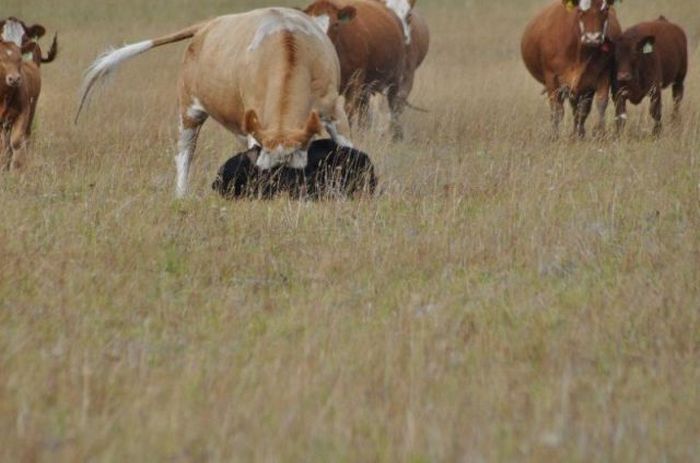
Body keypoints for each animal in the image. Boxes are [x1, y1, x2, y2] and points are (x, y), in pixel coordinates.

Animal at [0, 40, 41, 171]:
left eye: (19, 59)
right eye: (0, 58)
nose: (14, 79)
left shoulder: (24, 112)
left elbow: (16, 141)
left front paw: (15, 166)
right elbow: (3, 144)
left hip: (32, 109)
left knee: (26, 135)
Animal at [304, 0, 408, 138]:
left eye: (336, 24)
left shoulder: (355, 80)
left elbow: (349, 110)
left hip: (394, 79)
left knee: (394, 106)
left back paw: (396, 135)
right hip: (366, 88)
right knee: (365, 111)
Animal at [520, 0, 624, 138]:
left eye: (605, 9)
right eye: (580, 11)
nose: (592, 38)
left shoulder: (603, 74)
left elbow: (600, 103)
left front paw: (600, 133)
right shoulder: (552, 78)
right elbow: (557, 110)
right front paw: (554, 137)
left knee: (580, 109)